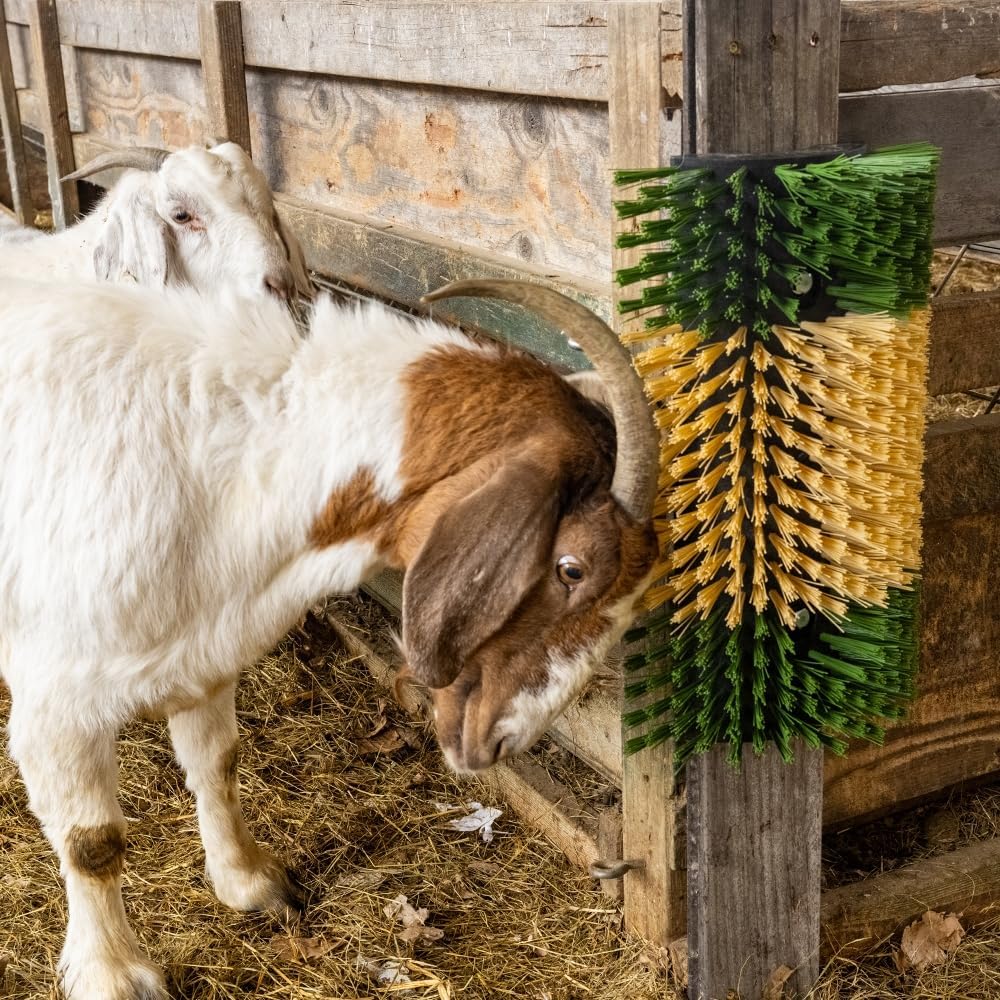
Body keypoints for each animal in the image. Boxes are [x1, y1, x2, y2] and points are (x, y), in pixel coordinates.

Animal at [0, 275, 658, 1000]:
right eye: (572, 568)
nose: (499, 741)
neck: (230, 466)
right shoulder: (57, 700)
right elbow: (92, 843)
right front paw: (112, 973)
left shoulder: (201, 653)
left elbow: (218, 763)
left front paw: (249, 882)